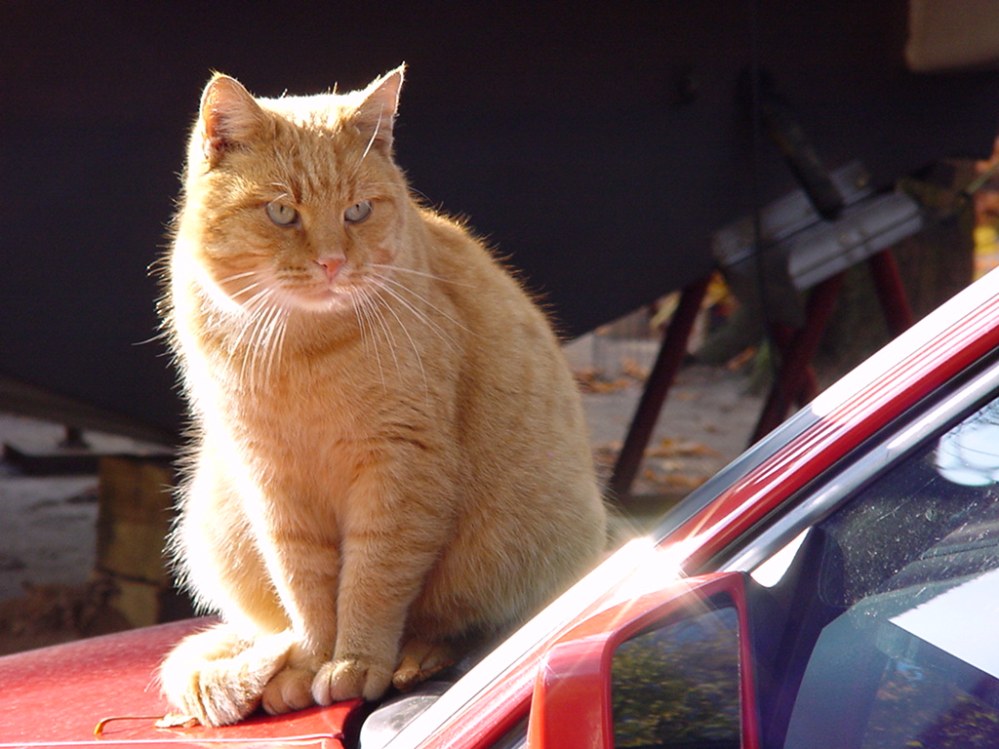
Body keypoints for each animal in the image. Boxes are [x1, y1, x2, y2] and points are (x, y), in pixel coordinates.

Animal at [160, 65, 604, 724]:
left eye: (359, 211)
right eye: (282, 212)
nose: (332, 263)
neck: (302, 349)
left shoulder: (400, 467)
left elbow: (372, 579)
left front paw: (354, 663)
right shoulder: (271, 482)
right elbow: (304, 587)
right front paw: (310, 663)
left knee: (455, 623)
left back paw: (415, 659)